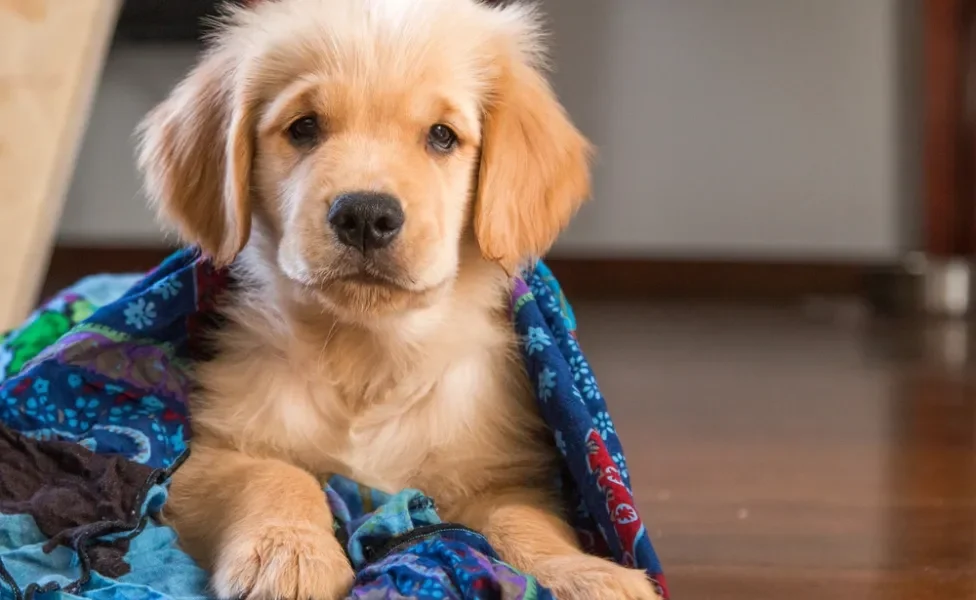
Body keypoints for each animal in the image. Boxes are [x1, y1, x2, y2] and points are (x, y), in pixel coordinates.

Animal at [137, 1, 656, 600]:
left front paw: (584, 572)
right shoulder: (210, 453)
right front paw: (287, 552)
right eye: (304, 127)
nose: (365, 215)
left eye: (442, 136)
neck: (369, 356)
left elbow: (522, 519)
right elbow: (275, 475)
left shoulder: (501, 474)